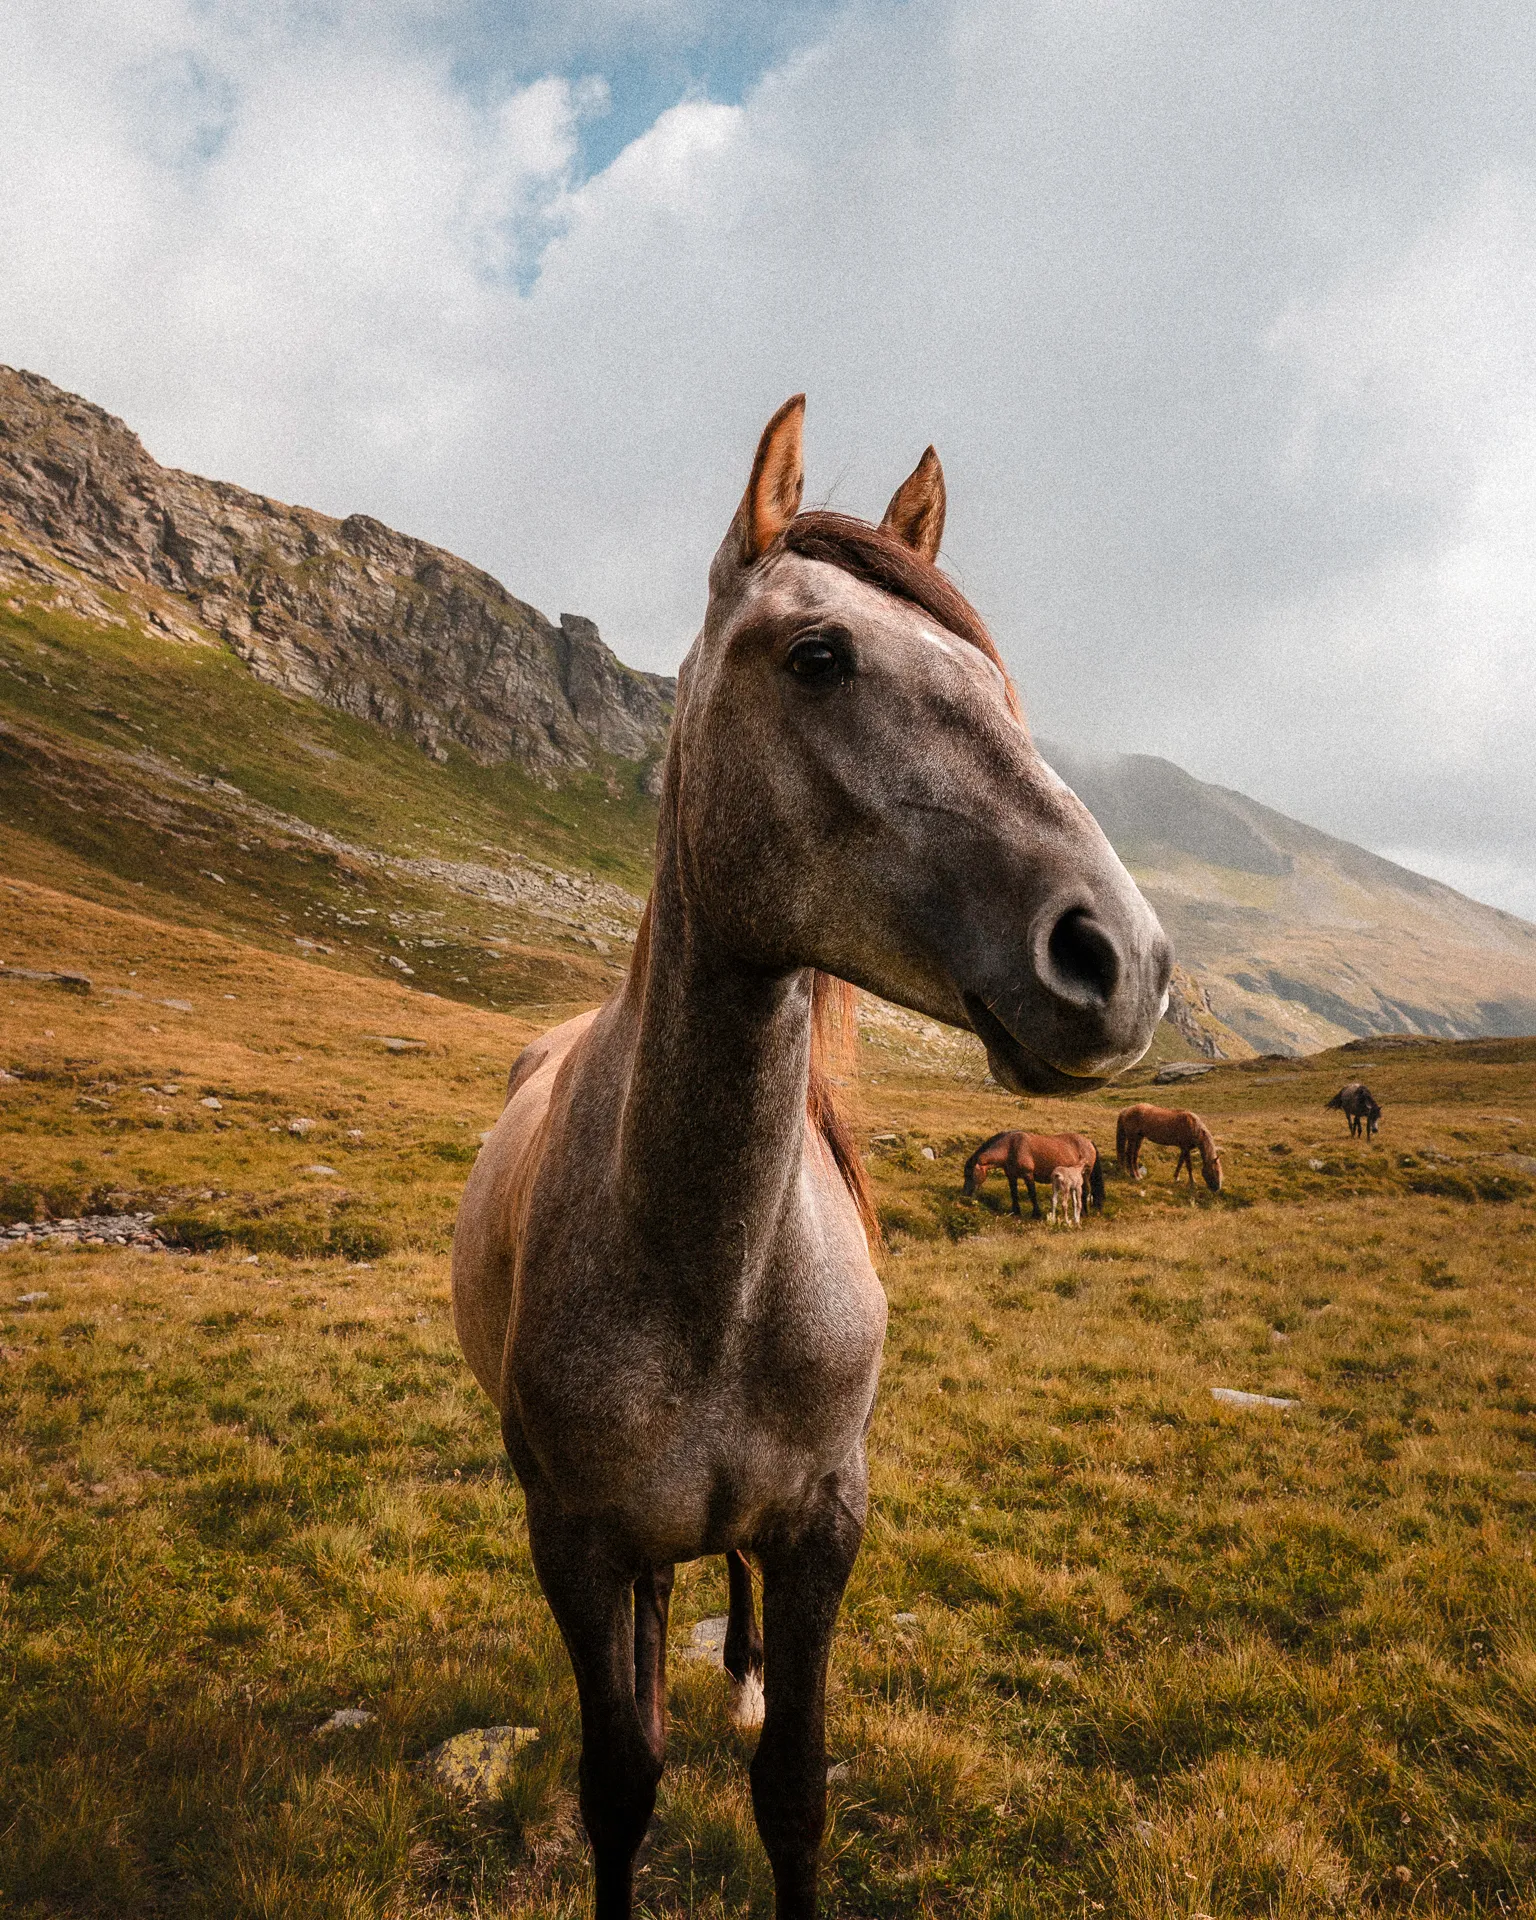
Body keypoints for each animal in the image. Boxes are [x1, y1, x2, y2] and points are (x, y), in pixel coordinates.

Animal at [962, 1129, 1103, 1218]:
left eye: (969, 1174)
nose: (965, 1196)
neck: (1011, 1147)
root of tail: (1089, 1142)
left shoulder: (1028, 1175)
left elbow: (1032, 1194)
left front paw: (1036, 1214)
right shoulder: (1011, 1176)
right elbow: (1014, 1194)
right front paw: (1016, 1211)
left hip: (1085, 1175)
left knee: (1085, 1192)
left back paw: (1084, 1213)